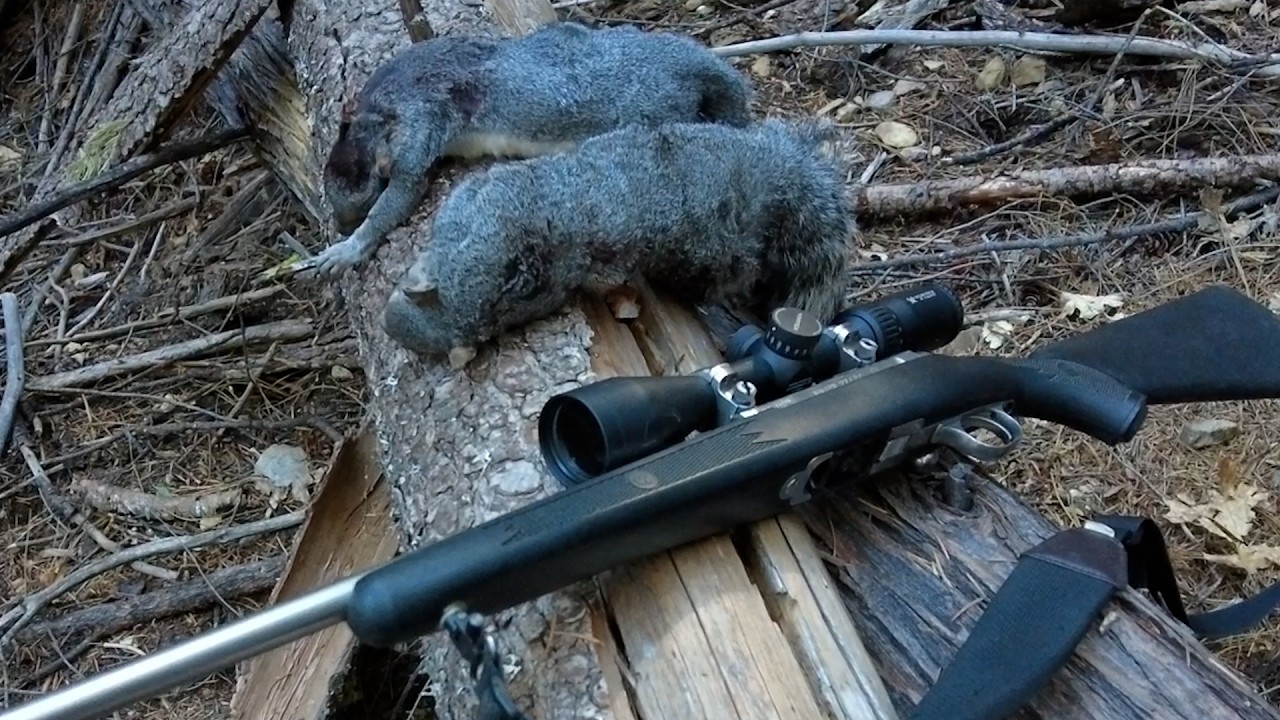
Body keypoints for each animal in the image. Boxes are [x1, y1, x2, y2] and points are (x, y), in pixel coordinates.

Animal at [294, 21, 755, 276]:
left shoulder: (420, 127)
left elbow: (402, 194)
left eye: (369, 183)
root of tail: (684, 62)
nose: (341, 225)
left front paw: (349, 247)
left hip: (653, 107)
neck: (383, 109)